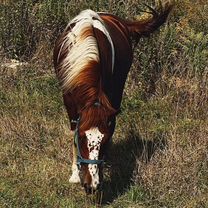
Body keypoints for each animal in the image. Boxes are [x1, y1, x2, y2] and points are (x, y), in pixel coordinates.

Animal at [53, 1, 172, 194]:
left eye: (105, 140)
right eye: (82, 138)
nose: (92, 185)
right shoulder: (69, 100)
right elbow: (72, 132)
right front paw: (74, 173)